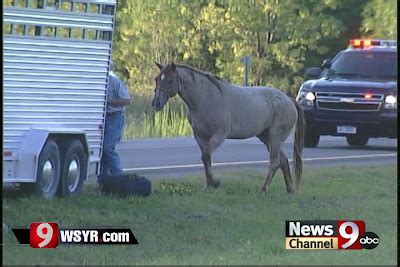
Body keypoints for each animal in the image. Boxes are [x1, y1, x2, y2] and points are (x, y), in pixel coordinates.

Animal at [152, 61, 304, 194]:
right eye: (157, 79)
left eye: (170, 80)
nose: (156, 103)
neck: (205, 98)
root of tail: (289, 100)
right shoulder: (200, 137)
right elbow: (206, 159)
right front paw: (208, 185)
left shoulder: (219, 135)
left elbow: (206, 155)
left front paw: (215, 182)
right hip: (266, 137)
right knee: (283, 161)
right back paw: (290, 190)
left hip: (275, 138)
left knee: (274, 163)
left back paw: (263, 189)